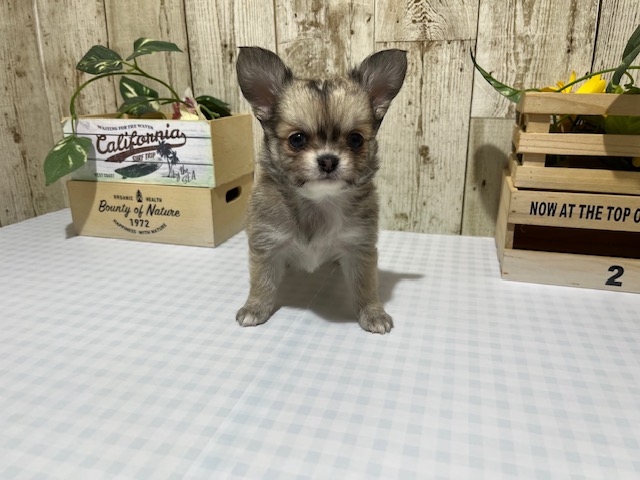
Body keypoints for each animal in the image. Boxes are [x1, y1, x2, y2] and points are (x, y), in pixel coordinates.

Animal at [235, 47, 407, 334]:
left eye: (356, 139)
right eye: (297, 139)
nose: (328, 160)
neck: (319, 202)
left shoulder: (359, 248)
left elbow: (365, 286)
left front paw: (373, 313)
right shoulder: (266, 245)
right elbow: (262, 282)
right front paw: (255, 308)